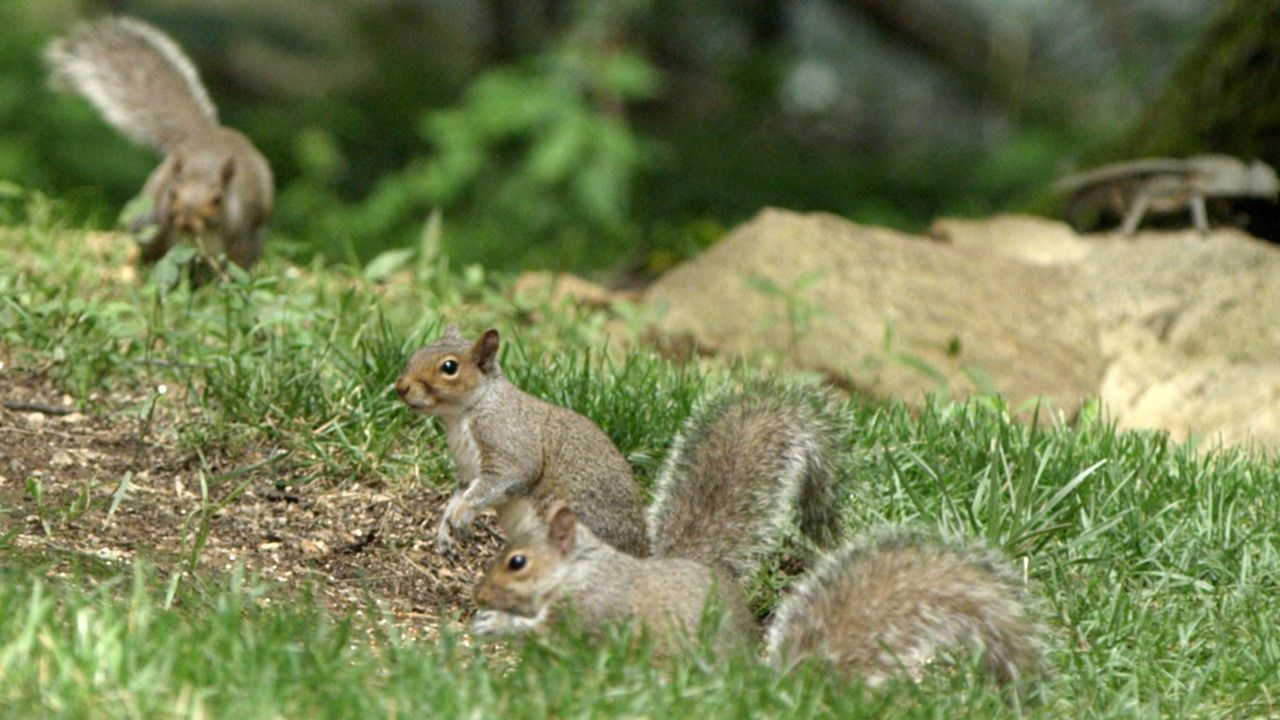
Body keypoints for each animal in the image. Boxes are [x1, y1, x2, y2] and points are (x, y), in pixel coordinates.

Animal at [46, 14, 273, 271]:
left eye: (218, 199)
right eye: (172, 192)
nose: (187, 220)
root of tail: (211, 133)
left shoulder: (241, 239)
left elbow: (236, 268)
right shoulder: (158, 226)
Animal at [391, 325, 655, 556]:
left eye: (449, 367)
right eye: (417, 352)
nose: (400, 387)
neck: (463, 415)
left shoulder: (508, 441)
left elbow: (504, 479)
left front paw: (460, 517)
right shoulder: (467, 471)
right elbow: (459, 496)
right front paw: (445, 530)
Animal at [471, 386, 1039, 681]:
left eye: (517, 562)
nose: (480, 592)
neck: (581, 569)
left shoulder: (591, 608)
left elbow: (546, 630)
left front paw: (496, 623)